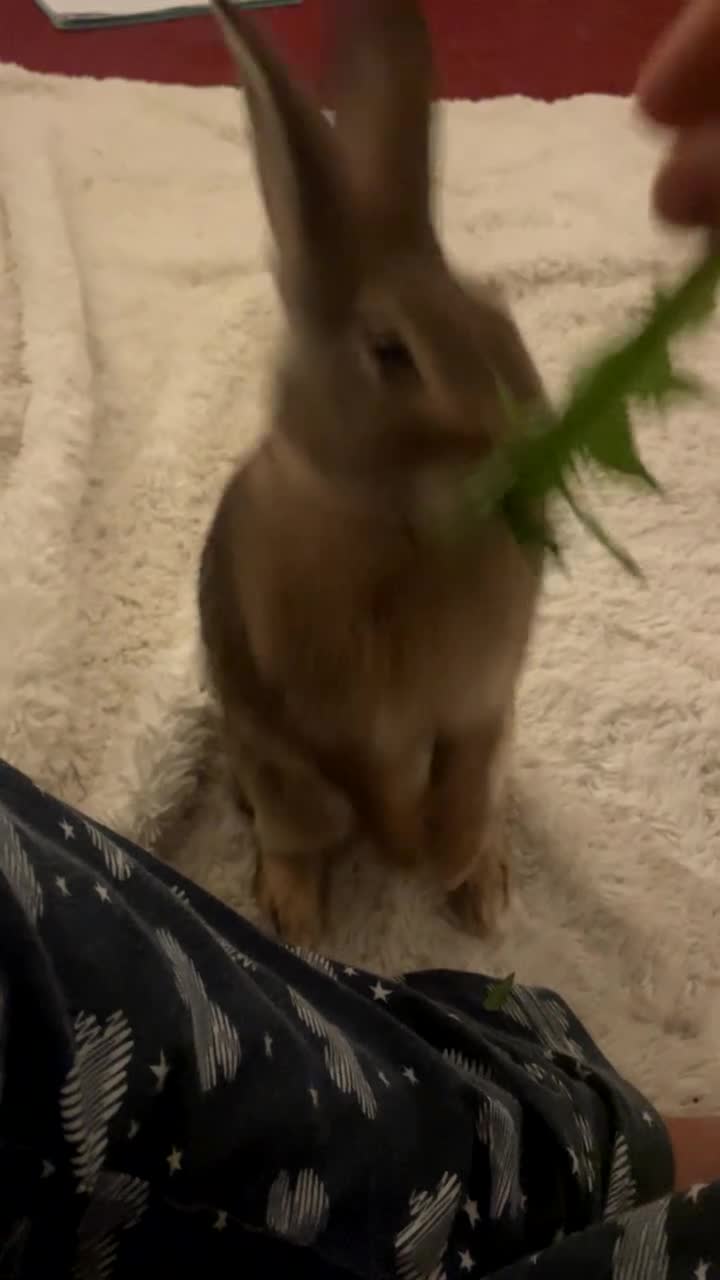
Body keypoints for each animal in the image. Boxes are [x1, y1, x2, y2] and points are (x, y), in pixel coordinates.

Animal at [199, 0, 547, 948]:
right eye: (391, 353)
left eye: (497, 314)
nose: (520, 439)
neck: (404, 529)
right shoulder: (347, 728)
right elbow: (382, 794)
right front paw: (412, 856)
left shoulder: (477, 706)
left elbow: (464, 777)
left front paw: (453, 864)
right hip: (279, 775)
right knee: (297, 830)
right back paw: (295, 919)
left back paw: (485, 887)